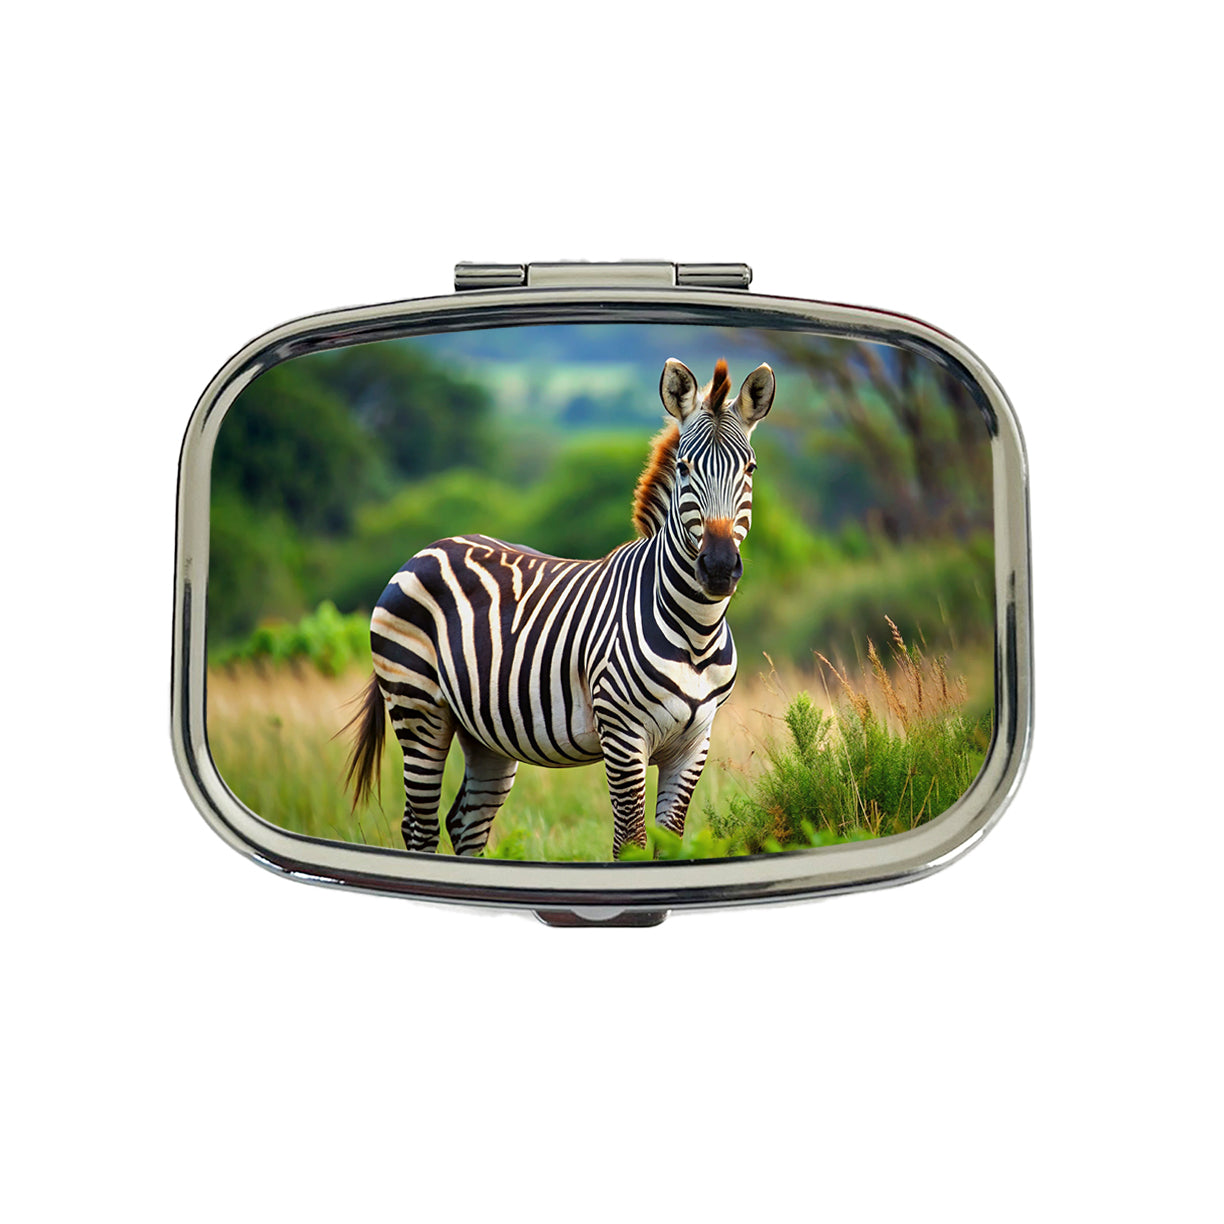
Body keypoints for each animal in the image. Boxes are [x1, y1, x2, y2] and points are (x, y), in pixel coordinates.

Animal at [345, 356, 775, 858]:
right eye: (685, 467)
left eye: (750, 468)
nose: (720, 567)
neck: (696, 632)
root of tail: (426, 550)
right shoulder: (623, 736)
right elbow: (629, 844)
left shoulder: (693, 744)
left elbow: (669, 845)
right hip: (417, 707)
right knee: (420, 825)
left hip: (484, 732)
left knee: (465, 823)